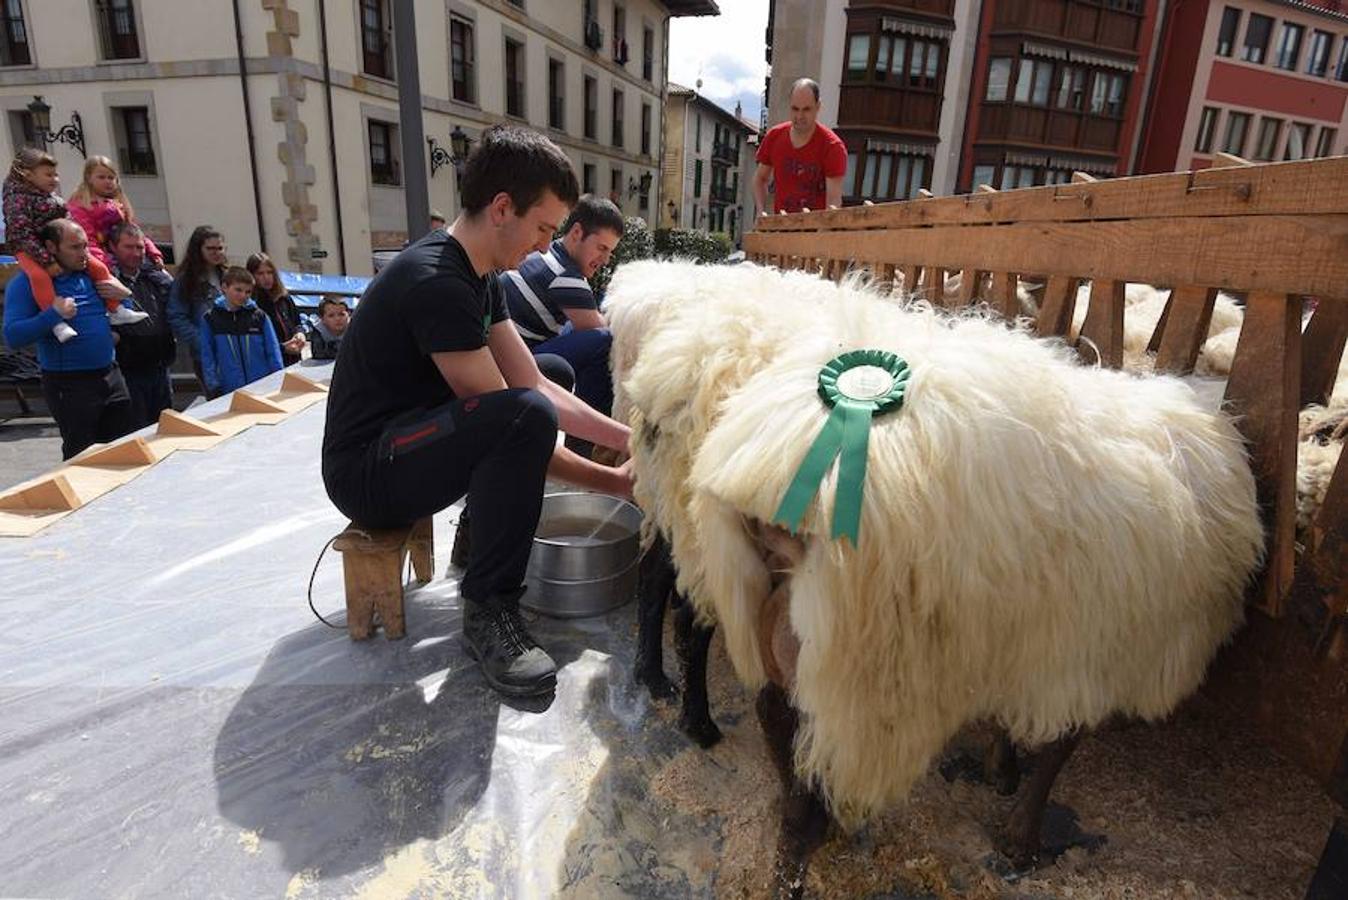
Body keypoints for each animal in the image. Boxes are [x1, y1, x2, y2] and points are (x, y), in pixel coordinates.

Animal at [619, 261, 1264, 892]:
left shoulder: (1035, 638)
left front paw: (1002, 769)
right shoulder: (1100, 653)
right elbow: (1060, 749)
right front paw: (1021, 836)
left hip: (717, 554)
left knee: (690, 620)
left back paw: (662, 687)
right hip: (846, 652)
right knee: (716, 651)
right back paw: (718, 742)